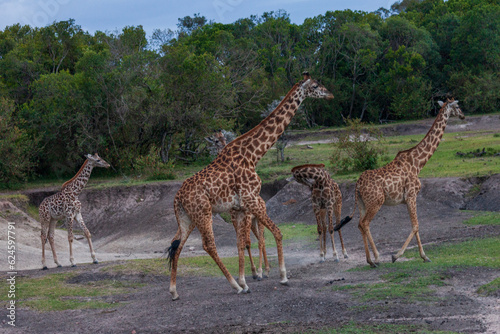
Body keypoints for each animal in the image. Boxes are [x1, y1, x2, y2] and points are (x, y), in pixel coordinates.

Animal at [166, 71, 334, 300]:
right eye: (316, 86)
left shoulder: (239, 208)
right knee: (208, 245)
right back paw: (234, 286)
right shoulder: (250, 198)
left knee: (176, 245)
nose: (330, 94)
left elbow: (241, 243)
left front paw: (246, 281)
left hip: (186, 218)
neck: (253, 154)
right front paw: (282, 277)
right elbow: (277, 233)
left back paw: (174, 291)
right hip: (203, 213)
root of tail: (177, 198)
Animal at [336, 98, 464, 268]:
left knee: (359, 224)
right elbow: (416, 225)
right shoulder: (411, 195)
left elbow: (415, 226)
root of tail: (357, 185)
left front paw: (425, 257)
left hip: (363, 203)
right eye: (457, 106)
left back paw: (370, 260)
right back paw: (376, 258)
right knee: (365, 223)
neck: (418, 164)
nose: (463, 115)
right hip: (376, 202)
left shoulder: (407, 199)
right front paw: (395, 256)